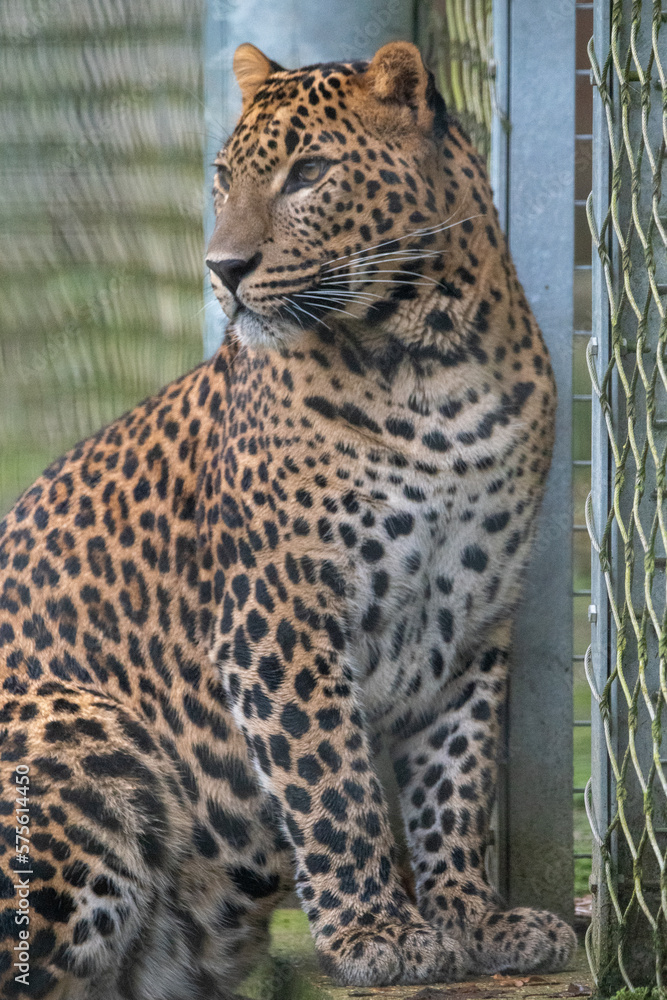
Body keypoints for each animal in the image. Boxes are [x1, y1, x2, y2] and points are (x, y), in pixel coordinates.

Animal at [0, 40, 576, 998]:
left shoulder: (473, 621)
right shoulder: (279, 615)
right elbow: (333, 783)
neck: (434, 360)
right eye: (223, 179)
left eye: (308, 174)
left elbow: (455, 783)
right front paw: (379, 931)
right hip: (86, 725)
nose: (221, 270)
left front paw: (474, 917)